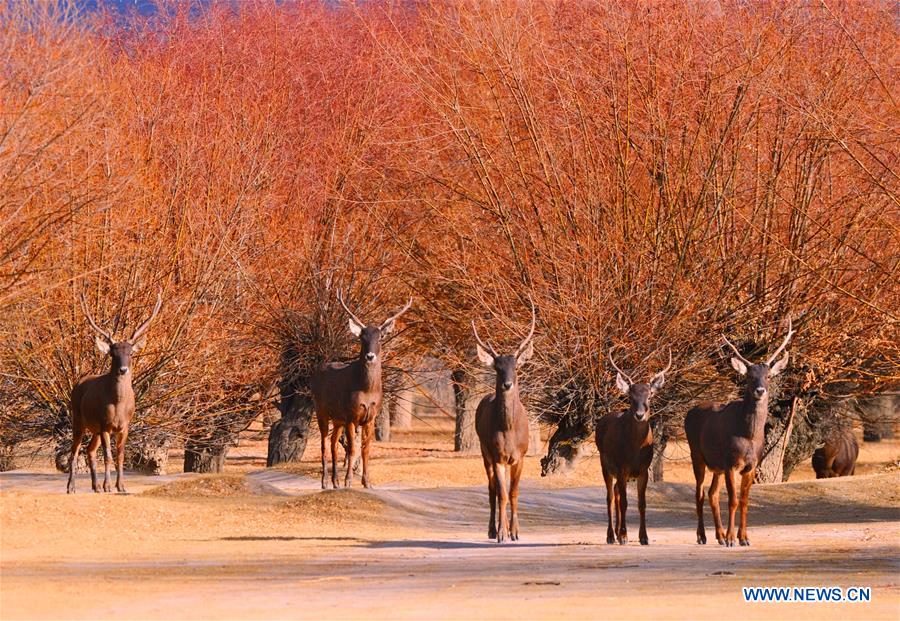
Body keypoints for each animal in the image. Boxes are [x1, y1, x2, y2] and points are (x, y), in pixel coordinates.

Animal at [69, 292, 164, 494]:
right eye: (113, 353)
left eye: (131, 353)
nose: (123, 369)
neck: (118, 404)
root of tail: (78, 383)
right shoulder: (105, 424)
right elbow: (108, 456)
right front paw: (108, 486)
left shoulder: (125, 426)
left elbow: (120, 456)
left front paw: (120, 486)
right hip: (78, 418)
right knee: (74, 452)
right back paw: (71, 487)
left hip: (94, 428)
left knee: (89, 450)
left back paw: (95, 486)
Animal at [308, 290, 410, 490]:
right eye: (362, 337)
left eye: (380, 337)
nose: (370, 356)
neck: (367, 390)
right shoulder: (351, 415)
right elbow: (353, 448)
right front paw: (349, 481)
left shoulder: (370, 417)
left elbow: (366, 449)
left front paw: (367, 482)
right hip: (321, 410)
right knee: (324, 443)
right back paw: (325, 482)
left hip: (337, 418)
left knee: (333, 442)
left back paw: (335, 482)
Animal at [472, 298, 536, 540]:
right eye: (498, 368)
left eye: (515, 366)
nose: (507, 384)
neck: (508, 429)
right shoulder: (496, 455)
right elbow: (501, 493)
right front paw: (501, 532)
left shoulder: (521, 456)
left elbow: (514, 492)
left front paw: (516, 531)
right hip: (484, 451)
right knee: (492, 489)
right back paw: (493, 529)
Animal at [596, 346, 672, 544]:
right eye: (630, 397)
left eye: (650, 395)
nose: (639, 414)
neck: (635, 450)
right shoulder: (622, 467)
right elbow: (624, 502)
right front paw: (623, 536)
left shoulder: (644, 469)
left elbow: (641, 503)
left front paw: (644, 537)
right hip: (605, 464)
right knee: (609, 497)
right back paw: (611, 535)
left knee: (615, 491)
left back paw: (616, 533)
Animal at [684, 318, 792, 544]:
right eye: (749, 376)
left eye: (769, 376)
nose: (760, 390)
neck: (748, 436)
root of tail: (689, 413)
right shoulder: (731, 462)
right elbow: (733, 500)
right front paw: (732, 538)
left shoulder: (751, 465)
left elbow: (744, 501)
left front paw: (744, 538)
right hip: (697, 454)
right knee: (699, 493)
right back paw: (702, 536)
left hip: (716, 465)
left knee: (712, 493)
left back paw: (719, 535)